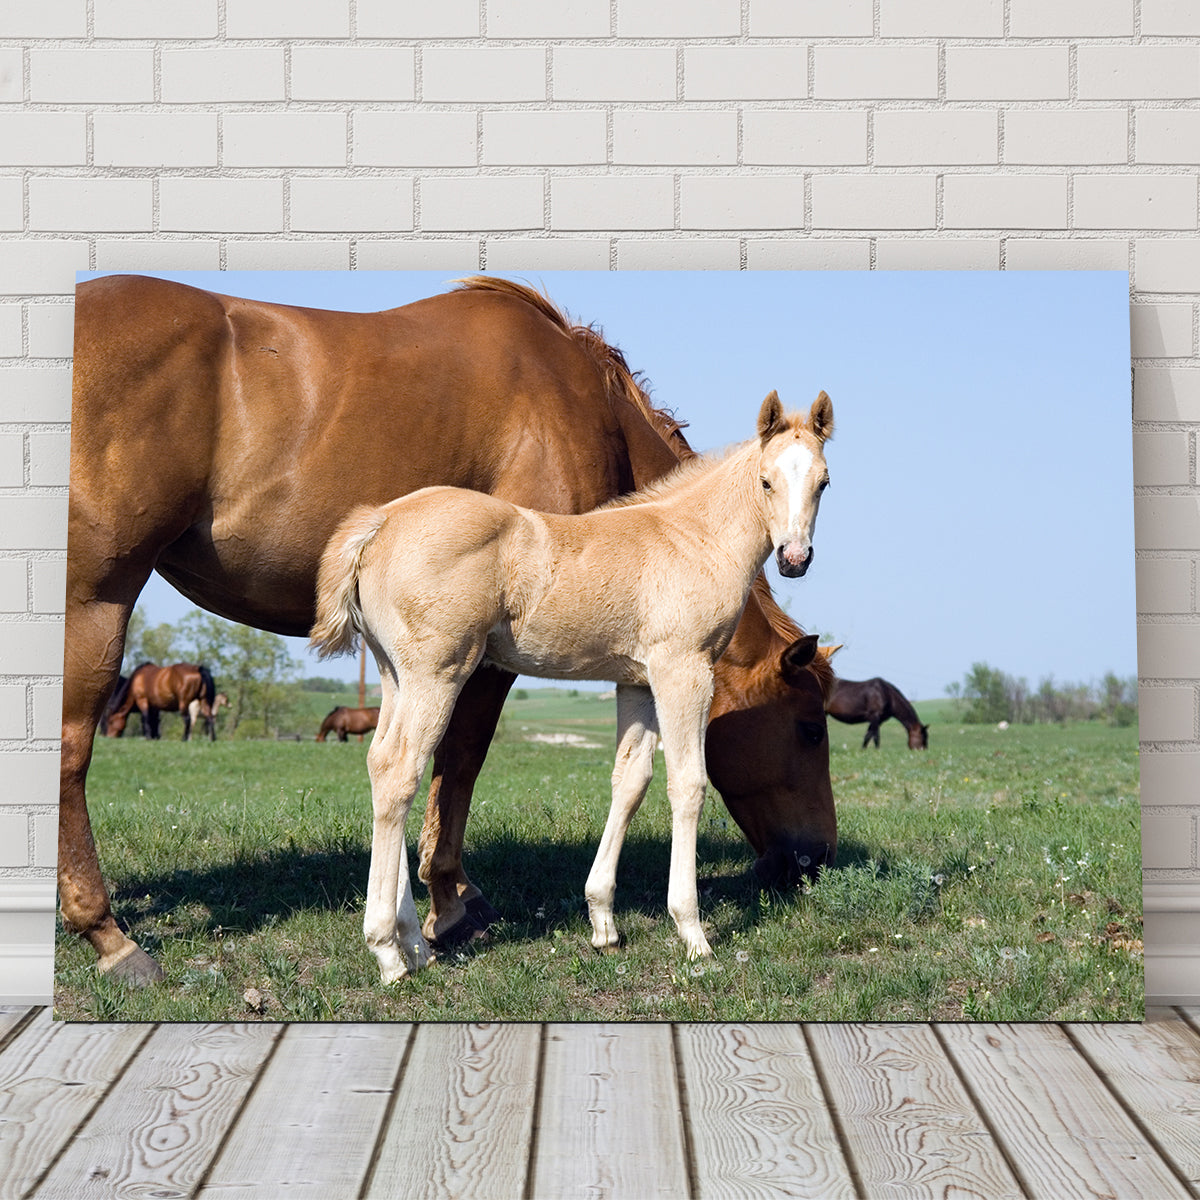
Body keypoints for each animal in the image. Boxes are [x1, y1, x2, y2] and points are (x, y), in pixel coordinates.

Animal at [309, 393, 835, 984]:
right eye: (766, 481)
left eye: (823, 481)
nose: (795, 558)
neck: (693, 540)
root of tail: (379, 521)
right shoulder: (683, 670)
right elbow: (688, 784)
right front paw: (693, 933)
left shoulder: (636, 682)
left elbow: (631, 781)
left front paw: (604, 923)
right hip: (436, 672)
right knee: (401, 771)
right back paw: (388, 952)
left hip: (395, 674)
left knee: (381, 763)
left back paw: (415, 946)